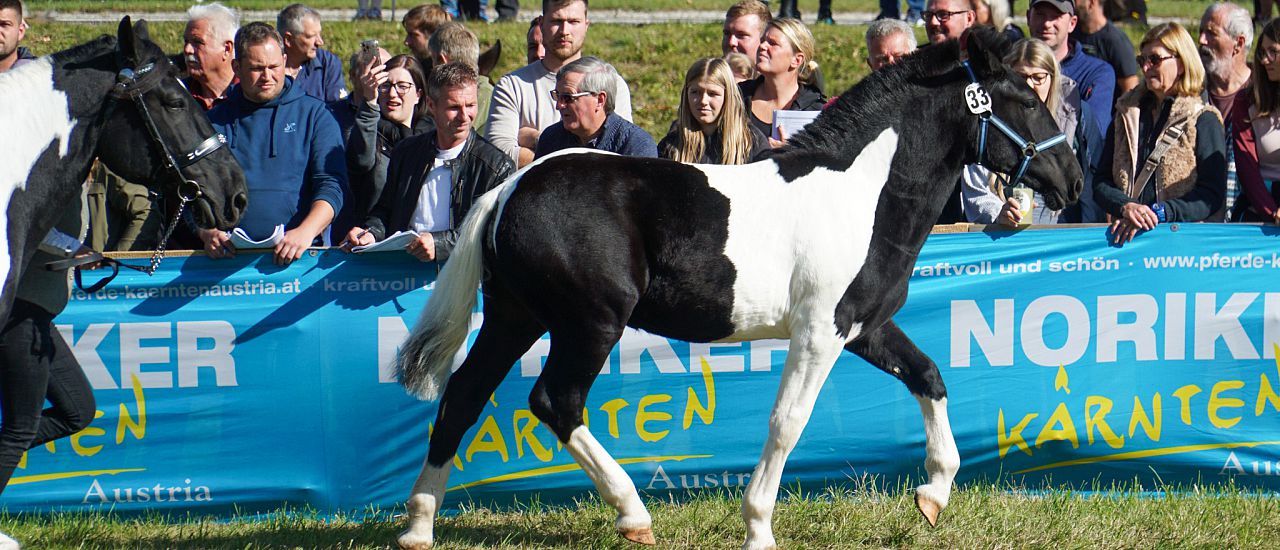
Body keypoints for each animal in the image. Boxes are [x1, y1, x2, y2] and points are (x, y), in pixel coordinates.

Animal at [393, 27, 1083, 550]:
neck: (863, 195)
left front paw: (934, 495)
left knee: (463, 396)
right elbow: (787, 422)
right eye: (1025, 98)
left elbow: (928, 375)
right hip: (591, 323)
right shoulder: (819, 333)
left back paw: (419, 528)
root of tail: (511, 188)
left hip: (517, 317)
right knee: (554, 402)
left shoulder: (864, 327)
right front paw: (758, 528)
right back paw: (634, 515)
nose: (1072, 179)